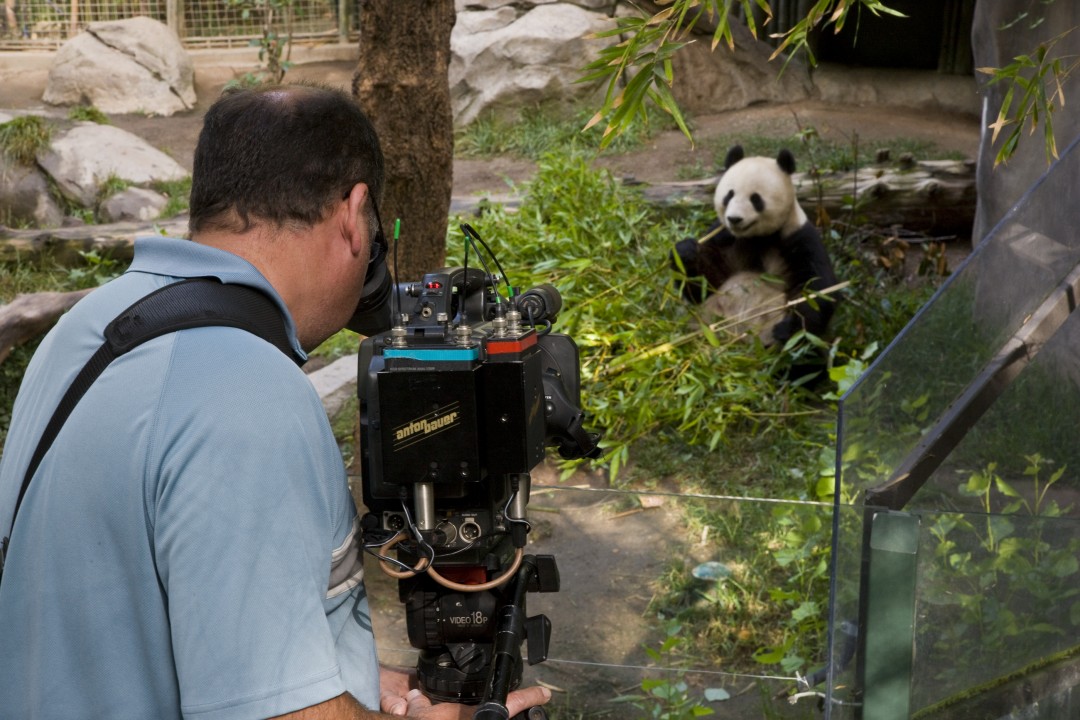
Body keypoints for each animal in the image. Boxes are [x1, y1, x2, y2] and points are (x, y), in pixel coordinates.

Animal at [669, 144, 838, 345]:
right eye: (729, 195)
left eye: (755, 199)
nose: (734, 219)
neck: (757, 237)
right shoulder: (724, 237)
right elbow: (706, 285)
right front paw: (685, 252)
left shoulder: (798, 237)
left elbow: (817, 289)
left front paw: (788, 330)